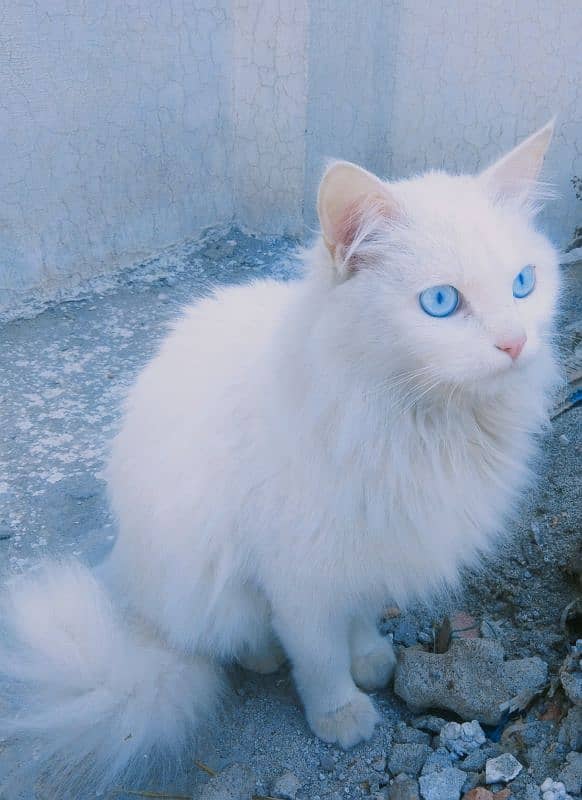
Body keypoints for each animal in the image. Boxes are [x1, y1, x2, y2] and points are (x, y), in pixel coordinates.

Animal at [1, 122, 564, 796]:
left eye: (524, 284)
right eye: (440, 302)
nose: (515, 342)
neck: (417, 424)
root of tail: (127, 585)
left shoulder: (373, 544)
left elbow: (359, 616)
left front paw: (370, 658)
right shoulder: (299, 573)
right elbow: (318, 656)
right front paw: (342, 714)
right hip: (211, 588)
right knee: (227, 638)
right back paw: (263, 656)